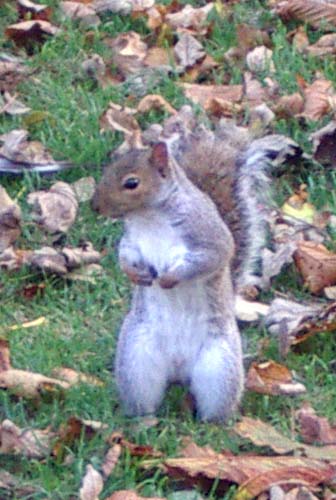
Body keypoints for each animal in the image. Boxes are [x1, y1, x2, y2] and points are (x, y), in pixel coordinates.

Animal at [92, 106, 300, 422]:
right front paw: (136, 275)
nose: (95, 206)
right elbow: (125, 256)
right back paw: (143, 421)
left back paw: (214, 424)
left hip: (219, 367)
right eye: (106, 172)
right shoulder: (132, 242)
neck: (149, 217)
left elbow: (211, 258)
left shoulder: (208, 238)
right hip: (136, 359)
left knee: (214, 404)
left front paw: (169, 279)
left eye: (132, 183)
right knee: (143, 398)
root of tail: (179, 371)